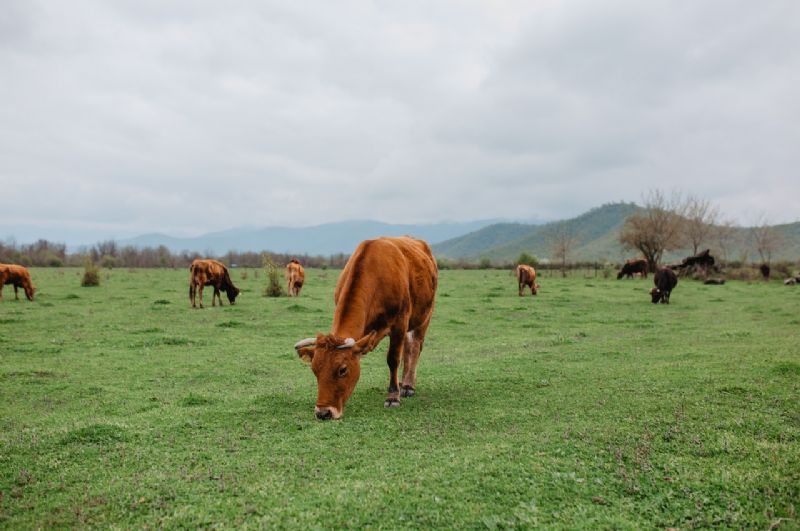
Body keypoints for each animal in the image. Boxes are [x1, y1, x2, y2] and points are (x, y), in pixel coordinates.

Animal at [294, 237, 438, 420]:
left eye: (342, 370)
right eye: (314, 370)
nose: (323, 412)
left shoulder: (400, 323)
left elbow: (393, 359)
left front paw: (393, 397)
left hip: (425, 316)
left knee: (415, 347)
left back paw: (408, 386)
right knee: (407, 348)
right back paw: (402, 383)